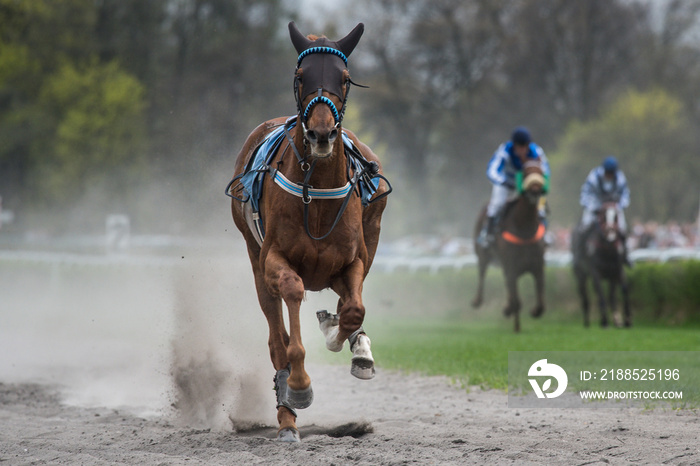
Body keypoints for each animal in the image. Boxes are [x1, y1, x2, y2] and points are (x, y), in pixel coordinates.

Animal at [226, 22, 388, 444]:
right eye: (302, 76)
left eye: (344, 78)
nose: (321, 134)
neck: (316, 192)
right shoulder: (273, 259)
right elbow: (292, 301)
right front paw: (297, 386)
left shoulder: (353, 259)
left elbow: (354, 308)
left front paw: (342, 336)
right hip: (253, 258)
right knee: (276, 337)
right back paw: (286, 417)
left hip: (373, 231)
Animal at [470, 162, 548, 334]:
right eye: (525, 173)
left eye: (541, 171)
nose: (535, 190)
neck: (524, 229)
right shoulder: (511, 267)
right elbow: (517, 301)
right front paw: (516, 326)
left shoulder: (538, 266)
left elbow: (540, 303)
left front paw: (532, 311)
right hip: (482, 254)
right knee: (481, 273)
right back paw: (477, 300)